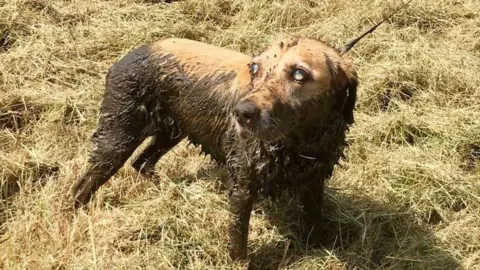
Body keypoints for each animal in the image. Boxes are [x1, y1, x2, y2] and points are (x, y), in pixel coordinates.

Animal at [71, 3, 412, 260]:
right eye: (255, 68)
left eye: (299, 74)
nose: (241, 112)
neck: (298, 144)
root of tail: (128, 55)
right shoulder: (243, 186)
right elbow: (239, 243)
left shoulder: (313, 180)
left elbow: (315, 223)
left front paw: (317, 249)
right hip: (118, 137)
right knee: (85, 183)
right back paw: (75, 213)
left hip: (172, 131)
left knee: (141, 162)